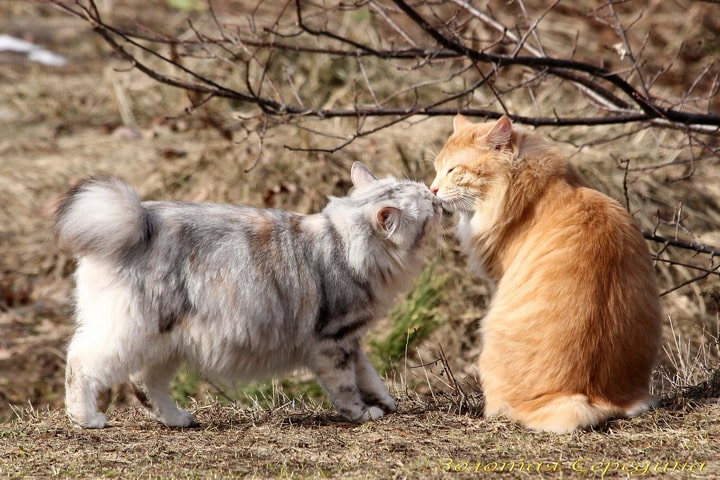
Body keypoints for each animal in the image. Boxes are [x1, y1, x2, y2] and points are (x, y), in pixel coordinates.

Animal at [53, 161, 442, 428]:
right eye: (428, 205)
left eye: (427, 193)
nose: (438, 196)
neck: (344, 245)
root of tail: (138, 220)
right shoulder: (333, 342)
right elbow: (347, 387)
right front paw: (364, 414)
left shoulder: (351, 341)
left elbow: (369, 374)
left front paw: (387, 402)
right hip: (132, 332)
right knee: (80, 362)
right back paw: (86, 418)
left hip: (165, 343)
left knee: (146, 384)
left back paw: (177, 418)